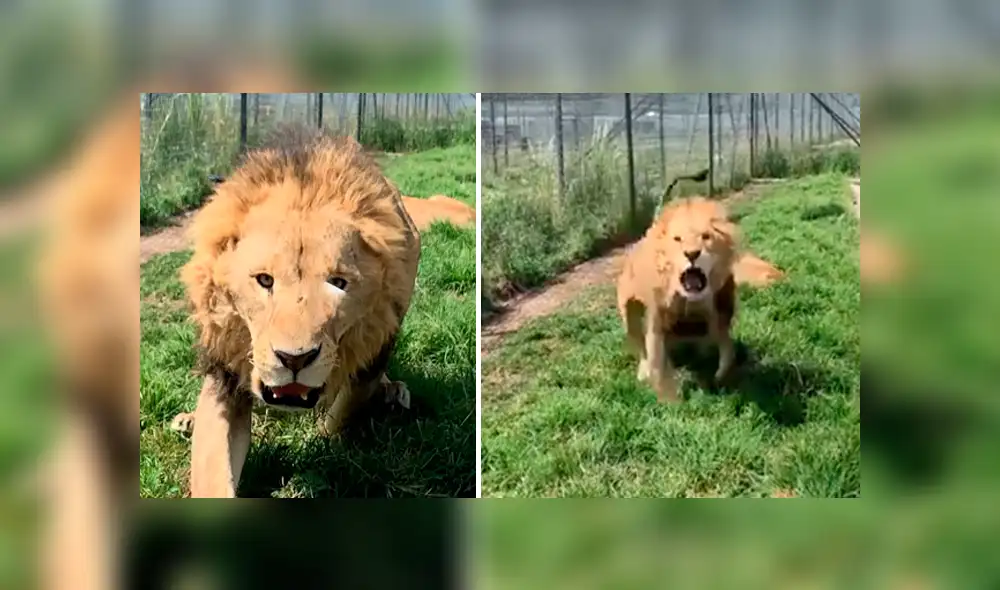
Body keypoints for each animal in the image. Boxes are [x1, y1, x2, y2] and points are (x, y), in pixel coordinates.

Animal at [173, 134, 421, 498]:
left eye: (338, 283)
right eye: (265, 280)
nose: (294, 359)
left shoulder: (378, 343)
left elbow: (342, 415)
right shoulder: (226, 371)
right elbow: (213, 471)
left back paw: (392, 394)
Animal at [616, 175, 740, 403]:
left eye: (706, 237)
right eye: (677, 240)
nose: (692, 254)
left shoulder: (717, 314)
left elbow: (727, 352)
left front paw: (717, 378)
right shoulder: (656, 322)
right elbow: (657, 363)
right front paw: (672, 403)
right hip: (629, 315)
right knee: (641, 346)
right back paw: (644, 372)